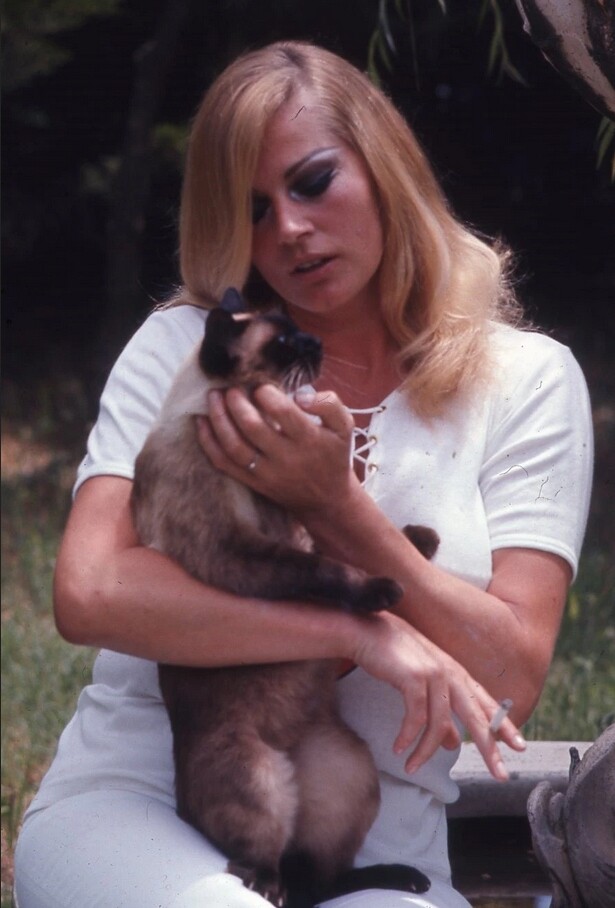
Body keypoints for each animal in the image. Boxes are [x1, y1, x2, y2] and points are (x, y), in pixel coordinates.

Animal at [131, 288, 437, 907]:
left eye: (297, 330)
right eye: (282, 344)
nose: (316, 342)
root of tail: (288, 749)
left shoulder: (298, 526)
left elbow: (361, 544)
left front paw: (421, 546)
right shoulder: (239, 555)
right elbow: (328, 569)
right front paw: (381, 591)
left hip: (349, 770)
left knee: (318, 882)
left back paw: (398, 878)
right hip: (259, 777)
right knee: (267, 864)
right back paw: (267, 884)